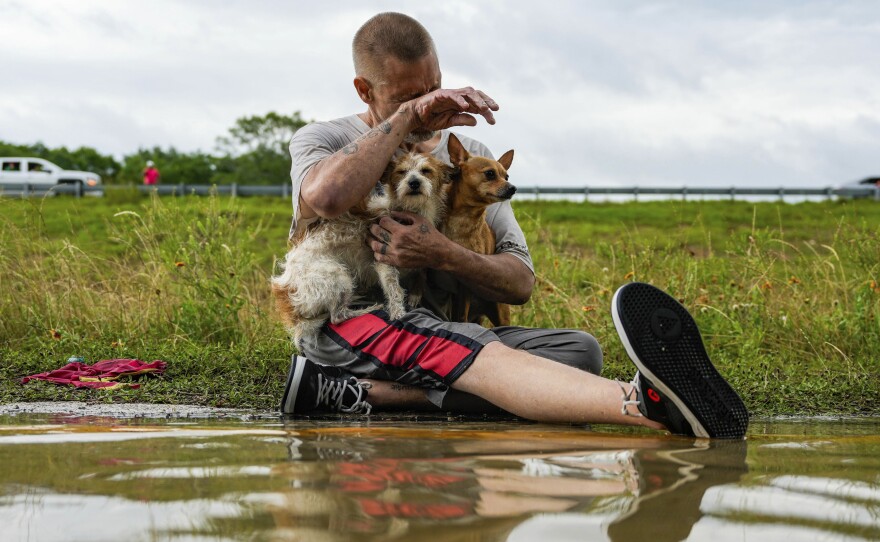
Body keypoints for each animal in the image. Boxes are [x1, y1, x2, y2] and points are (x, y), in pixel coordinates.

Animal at [272, 152, 450, 344]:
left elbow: (421, 271)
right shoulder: (384, 259)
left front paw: (416, 293)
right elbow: (394, 290)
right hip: (338, 276)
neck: (410, 210)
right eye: (402, 172)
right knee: (337, 316)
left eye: (426, 171)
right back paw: (368, 309)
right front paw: (398, 313)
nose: (414, 182)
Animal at [440, 134, 516, 328]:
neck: (463, 217)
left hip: (500, 312)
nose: (512, 187)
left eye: (507, 176)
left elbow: (461, 315)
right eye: (490, 174)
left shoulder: (467, 280)